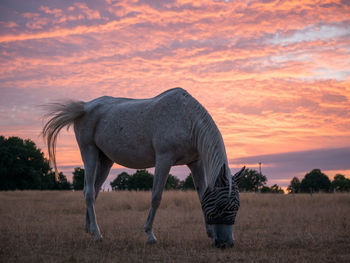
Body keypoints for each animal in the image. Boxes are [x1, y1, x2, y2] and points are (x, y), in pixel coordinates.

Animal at [42, 88, 245, 248]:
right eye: (222, 205)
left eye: (237, 206)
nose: (227, 243)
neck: (187, 119)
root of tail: (84, 107)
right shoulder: (164, 159)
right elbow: (156, 197)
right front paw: (150, 235)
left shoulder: (196, 163)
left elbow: (202, 196)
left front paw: (210, 234)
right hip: (89, 152)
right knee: (89, 192)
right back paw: (97, 234)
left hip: (105, 160)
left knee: (94, 190)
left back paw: (90, 230)